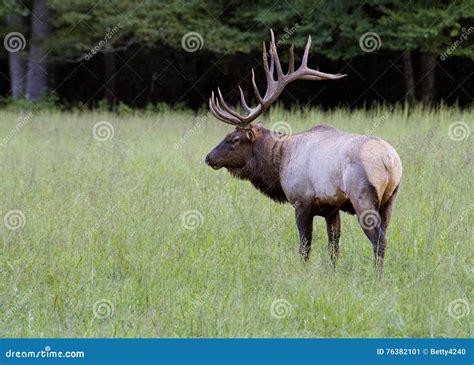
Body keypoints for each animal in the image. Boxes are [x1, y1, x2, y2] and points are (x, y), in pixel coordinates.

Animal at [206, 30, 402, 270]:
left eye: (233, 139)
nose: (209, 158)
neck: (280, 161)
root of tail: (389, 160)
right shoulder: (331, 208)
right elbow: (333, 246)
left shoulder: (302, 202)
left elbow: (305, 246)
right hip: (390, 199)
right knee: (384, 235)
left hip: (363, 197)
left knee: (379, 239)